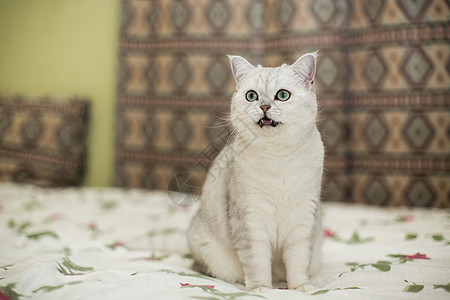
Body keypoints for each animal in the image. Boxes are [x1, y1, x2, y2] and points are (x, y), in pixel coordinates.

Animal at [187, 52, 324, 292]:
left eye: (282, 95)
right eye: (252, 96)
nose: (264, 107)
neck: (278, 157)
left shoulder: (304, 219)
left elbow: (298, 262)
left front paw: (301, 287)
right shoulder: (250, 219)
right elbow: (256, 262)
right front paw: (261, 289)